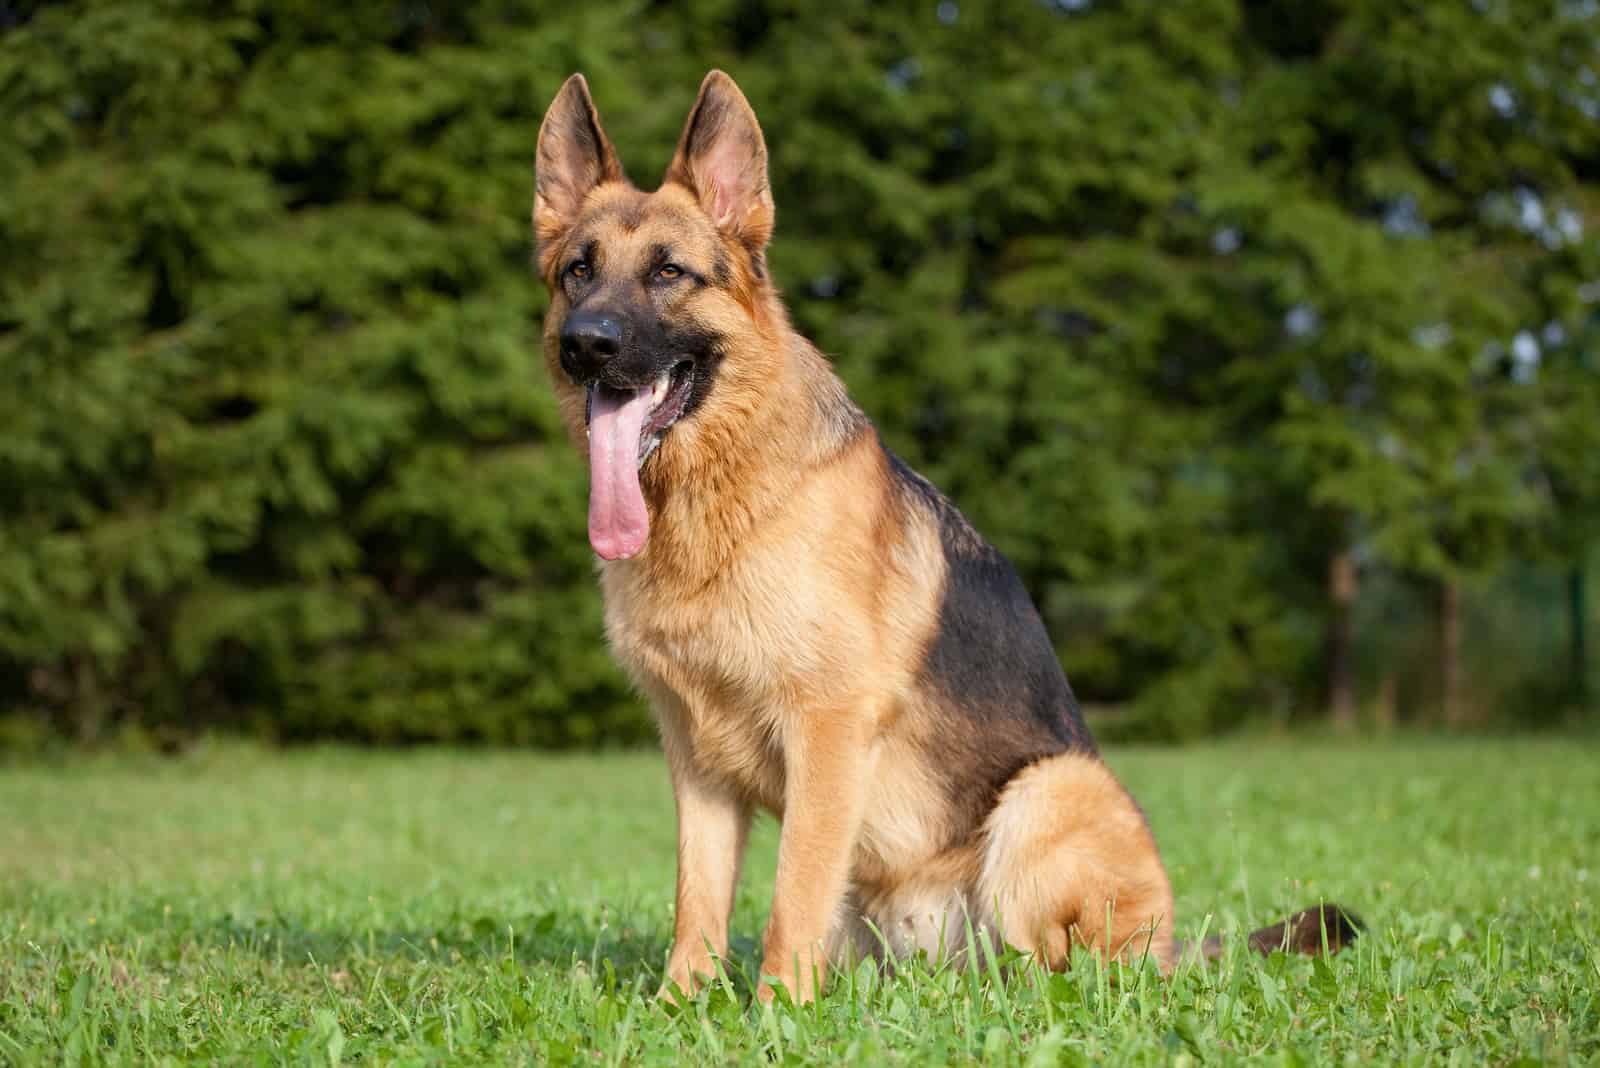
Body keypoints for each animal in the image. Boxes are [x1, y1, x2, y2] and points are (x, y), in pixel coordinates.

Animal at [531, 70, 1356, 1004]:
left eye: (670, 272)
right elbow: (696, 906)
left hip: (1048, 790)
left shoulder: (826, 732)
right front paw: (682, 1009)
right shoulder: (696, 763)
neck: (717, 498)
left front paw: (776, 1013)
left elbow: (789, 898)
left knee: (1071, 970)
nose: (586, 345)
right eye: (578, 271)